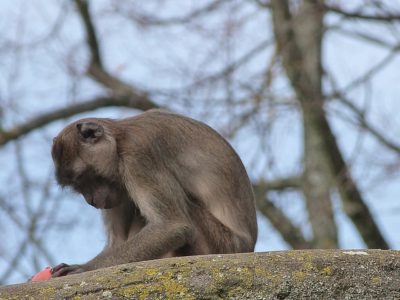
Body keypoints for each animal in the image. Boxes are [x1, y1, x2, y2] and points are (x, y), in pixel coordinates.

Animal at [50, 109, 256, 276]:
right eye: (77, 186)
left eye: (83, 178)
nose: (91, 200)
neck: (120, 139)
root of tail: (248, 247)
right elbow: (117, 242)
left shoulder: (138, 156)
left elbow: (171, 226)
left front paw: (85, 268)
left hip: (221, 243)